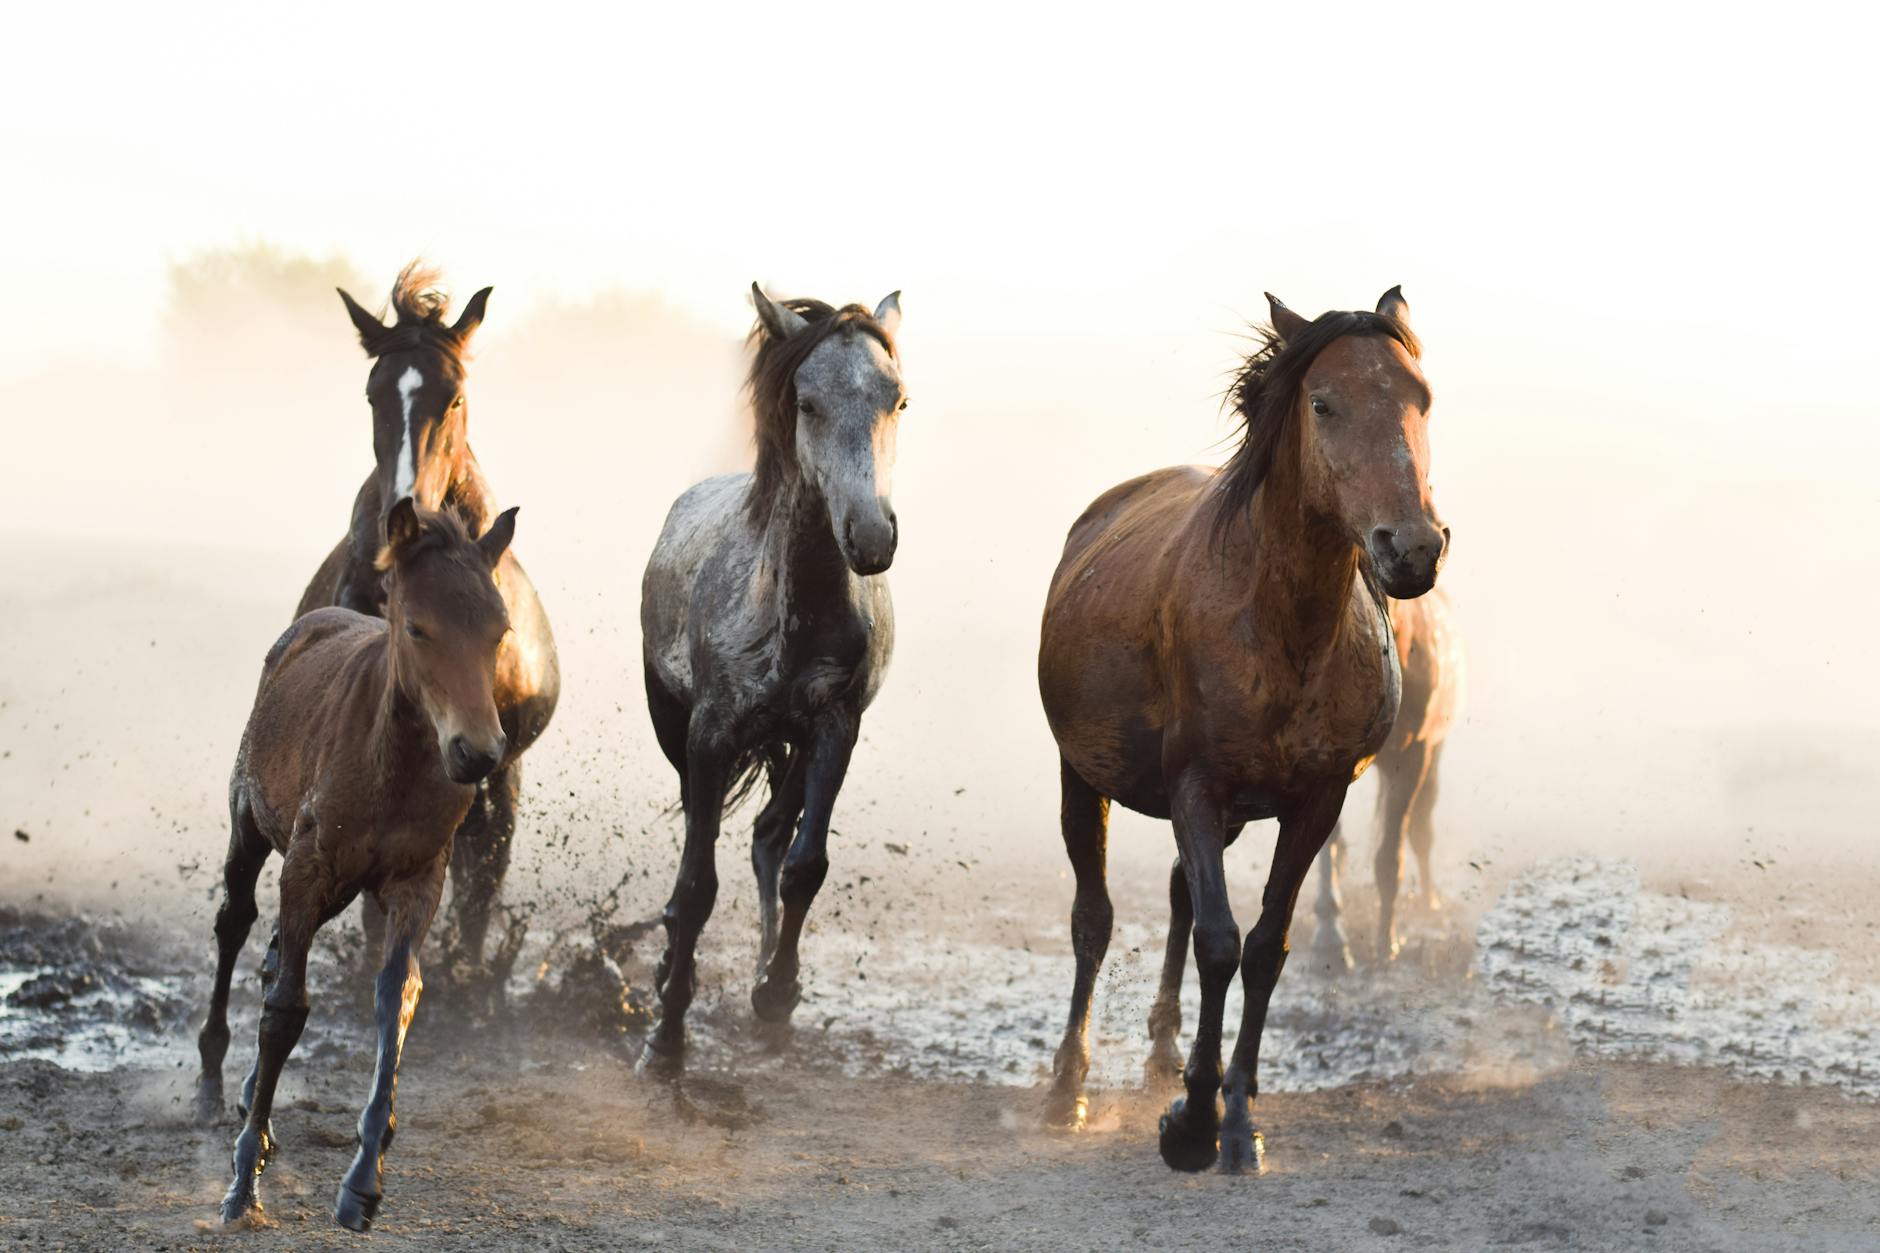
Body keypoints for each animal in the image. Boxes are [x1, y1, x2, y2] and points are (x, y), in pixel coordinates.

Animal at [194, 500, 520, 1230]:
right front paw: (242, 1184)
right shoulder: (308, 867)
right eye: (419, 627)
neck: (390, 764)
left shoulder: (417, 879)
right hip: (251, 824)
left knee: (273, 948)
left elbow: (396, 996)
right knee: (237, 925)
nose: (479, 753)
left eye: (500, 631)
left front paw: (363, 1182)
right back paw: (210, 1085)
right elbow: (286, 1008)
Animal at [638, 284, 905, 1075]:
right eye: (807, 403)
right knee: (703, 841)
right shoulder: (710, 735)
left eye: (897, 400)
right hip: (674, 729)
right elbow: (696, 885)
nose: (871, 536)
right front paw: (665, 1037)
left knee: (768, 834)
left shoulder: (835, 727)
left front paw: (779, 991)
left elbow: (803, 864)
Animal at [1037, 287, 1448, 1172]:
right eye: (1323, 403)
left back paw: (1166, 1056)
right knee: (1095, 921)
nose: (1413, 549)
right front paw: (1193, 1123)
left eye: (1421, 399)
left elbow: (1262, 946)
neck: (1280, 628)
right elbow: (1218, 941)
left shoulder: (1316, 801)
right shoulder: (1197, 786)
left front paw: (1234, 1118)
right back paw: (1067, 1088)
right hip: (1082, 777)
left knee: (1179, 894)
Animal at [1309, 588, 1465, 971]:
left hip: (1433, 754)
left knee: (1422, 828)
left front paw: (1387, 943)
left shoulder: (1412, 758)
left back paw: (1429, 903)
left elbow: (1390, 855)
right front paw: (1330, 939)